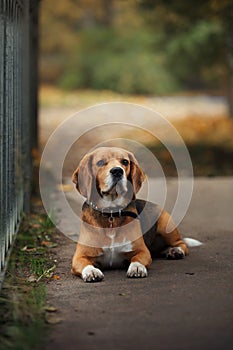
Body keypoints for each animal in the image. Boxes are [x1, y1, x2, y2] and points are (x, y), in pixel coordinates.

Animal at [72, 147, 188, 282]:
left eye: (125, 162)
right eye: (100, 163)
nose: (117, 171)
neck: (111, 214)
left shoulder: (142, 251)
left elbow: (137, 258)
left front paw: (137, 268)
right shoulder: (79, 257)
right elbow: (85, 264)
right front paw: (91, 271)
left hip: (166, 225)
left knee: (181, 244)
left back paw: (176, 251)